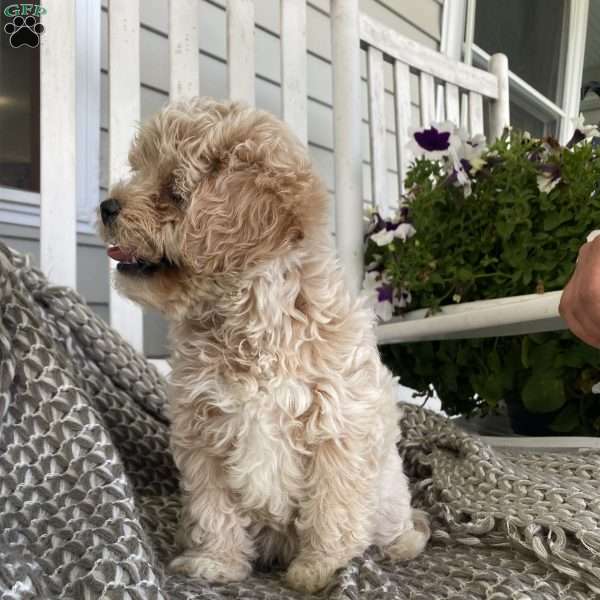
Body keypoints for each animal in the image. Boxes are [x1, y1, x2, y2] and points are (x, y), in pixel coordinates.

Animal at [97, 97, 426, 592]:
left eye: (173, 189)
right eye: (139, 170)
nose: (106, 205)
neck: (250, 317)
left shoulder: (337, 428)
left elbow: (331, 507)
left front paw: (322, 569)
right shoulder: (203, 432)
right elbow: (213, 508)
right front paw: (216, 562)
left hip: (388, 492)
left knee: (393, 520)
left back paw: (403, 543)